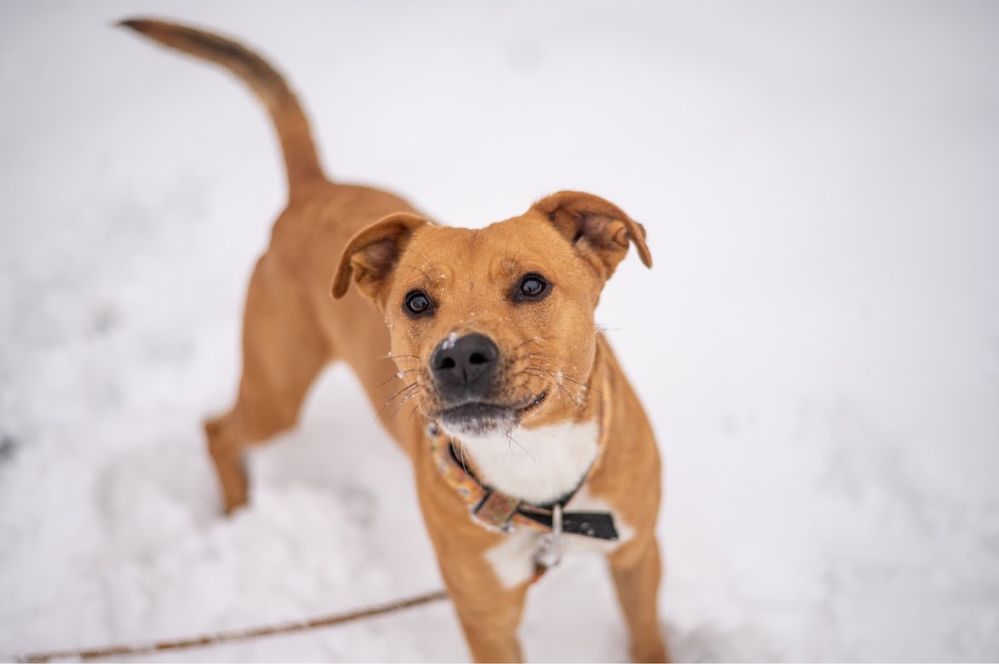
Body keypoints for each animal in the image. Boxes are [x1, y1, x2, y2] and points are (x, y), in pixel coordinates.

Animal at [125, 18, 668, 660]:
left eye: (533, 285)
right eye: (416, 301)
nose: (460, 354)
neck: (539, 477)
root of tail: (314, 189)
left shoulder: (638, 556)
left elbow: (647, 638)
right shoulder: (485, 614)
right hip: (277, 389)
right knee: (218, 429)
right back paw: (236, 513)